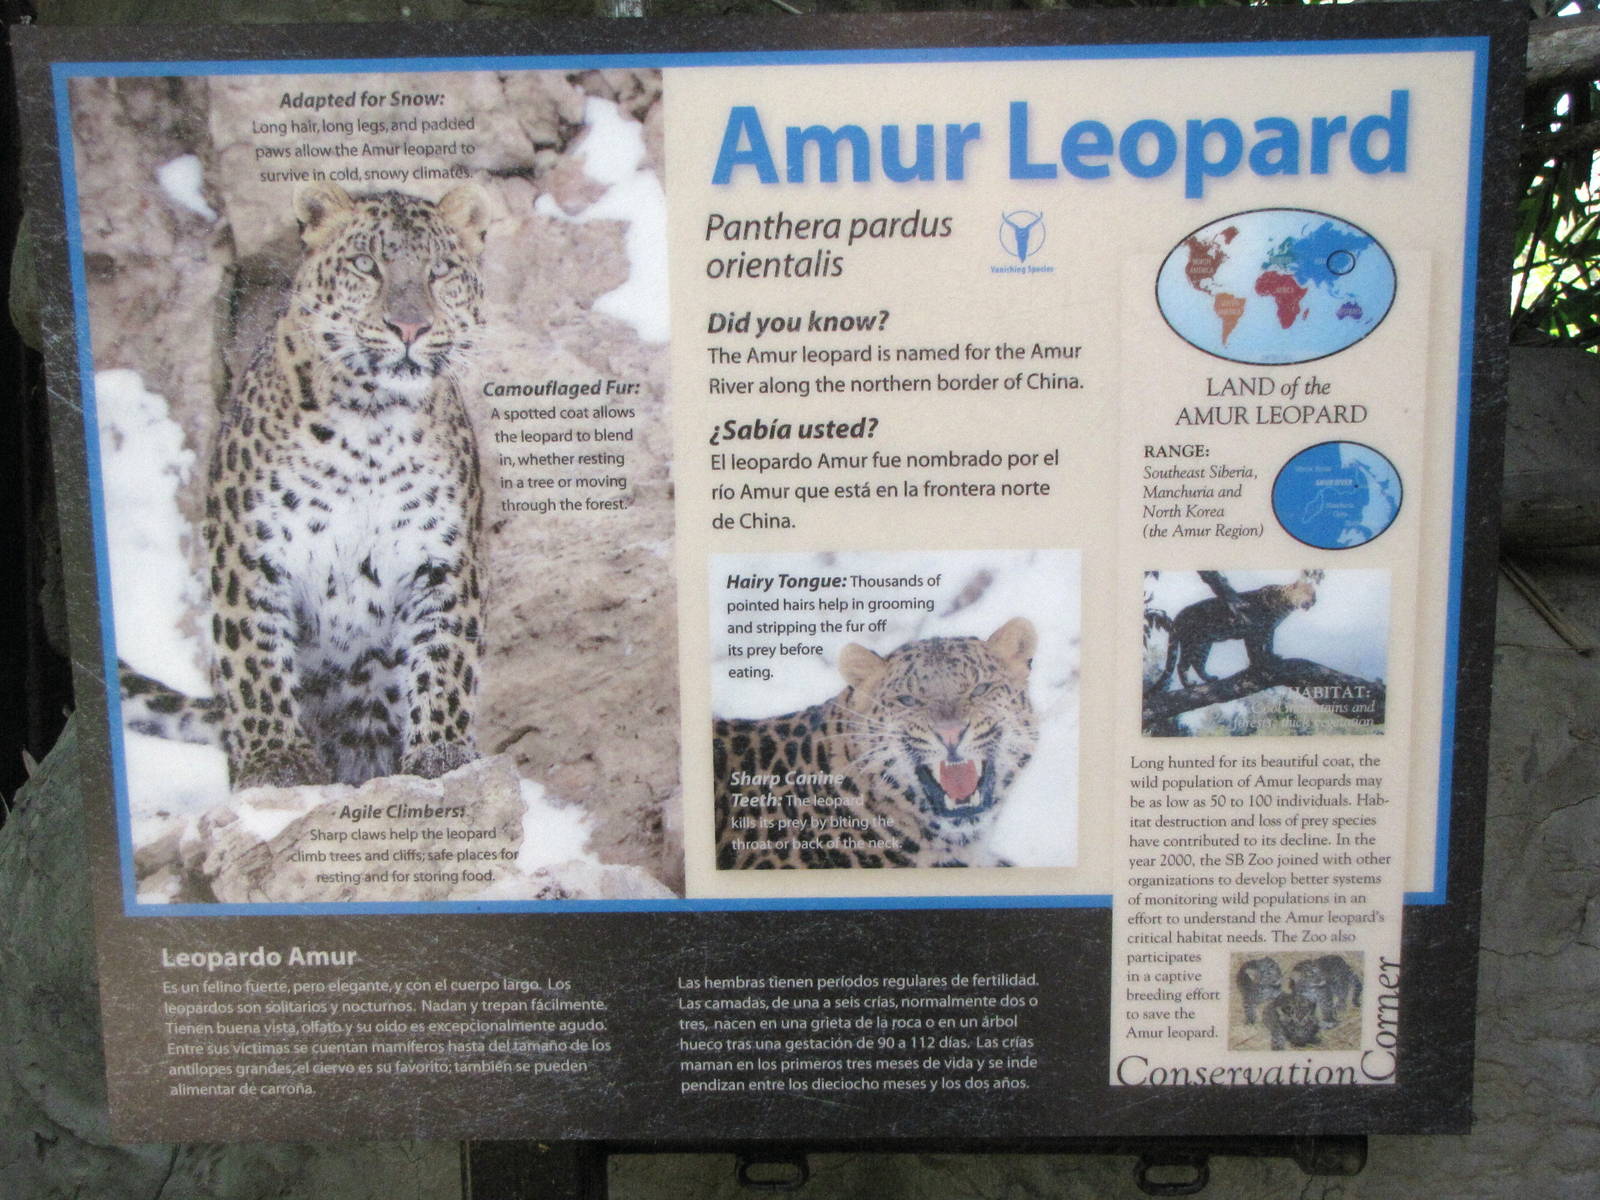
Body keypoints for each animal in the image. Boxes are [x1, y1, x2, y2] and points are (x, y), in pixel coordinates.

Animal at [120, 182, 490, 790]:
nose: (410, 328)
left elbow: (445, 656)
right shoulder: (249, 549)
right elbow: (254, 658)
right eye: (366, 265)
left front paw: (442, 752)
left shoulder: (443, 557)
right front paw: (276, 763)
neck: (372, 426)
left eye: (439, 271)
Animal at [1149, 569, 1324, 692]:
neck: (1285, 603)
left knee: (1198, 663)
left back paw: (1209, 679)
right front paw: (1259, 663)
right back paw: (1189, 685)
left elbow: (1269, 644)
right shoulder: (1254, 629)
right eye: (1306, 593)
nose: (1313, 601)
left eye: (1314, 595)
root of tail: (1179, 615)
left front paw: (1272, 656)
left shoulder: (1268, 629)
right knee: (1182, 664)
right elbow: (1254, 649)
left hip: (1204, 643)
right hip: (1191, 641)